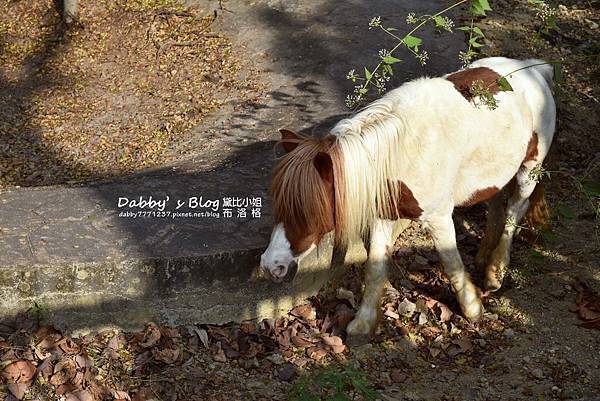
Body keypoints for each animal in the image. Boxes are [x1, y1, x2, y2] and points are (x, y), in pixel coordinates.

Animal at [260, 57, 556, 340]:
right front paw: (363, 324)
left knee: (514, 212)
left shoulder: (438, 218)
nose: (271, 265)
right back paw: (484, 258)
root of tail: (535, 68)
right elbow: (375, 268)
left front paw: (472, 309)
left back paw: (496, 271)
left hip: (528, 170)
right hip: (492, 178)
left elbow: (451, 264)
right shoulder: (382, 216)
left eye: (306, 210)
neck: (401, 151)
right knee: (496, 206)